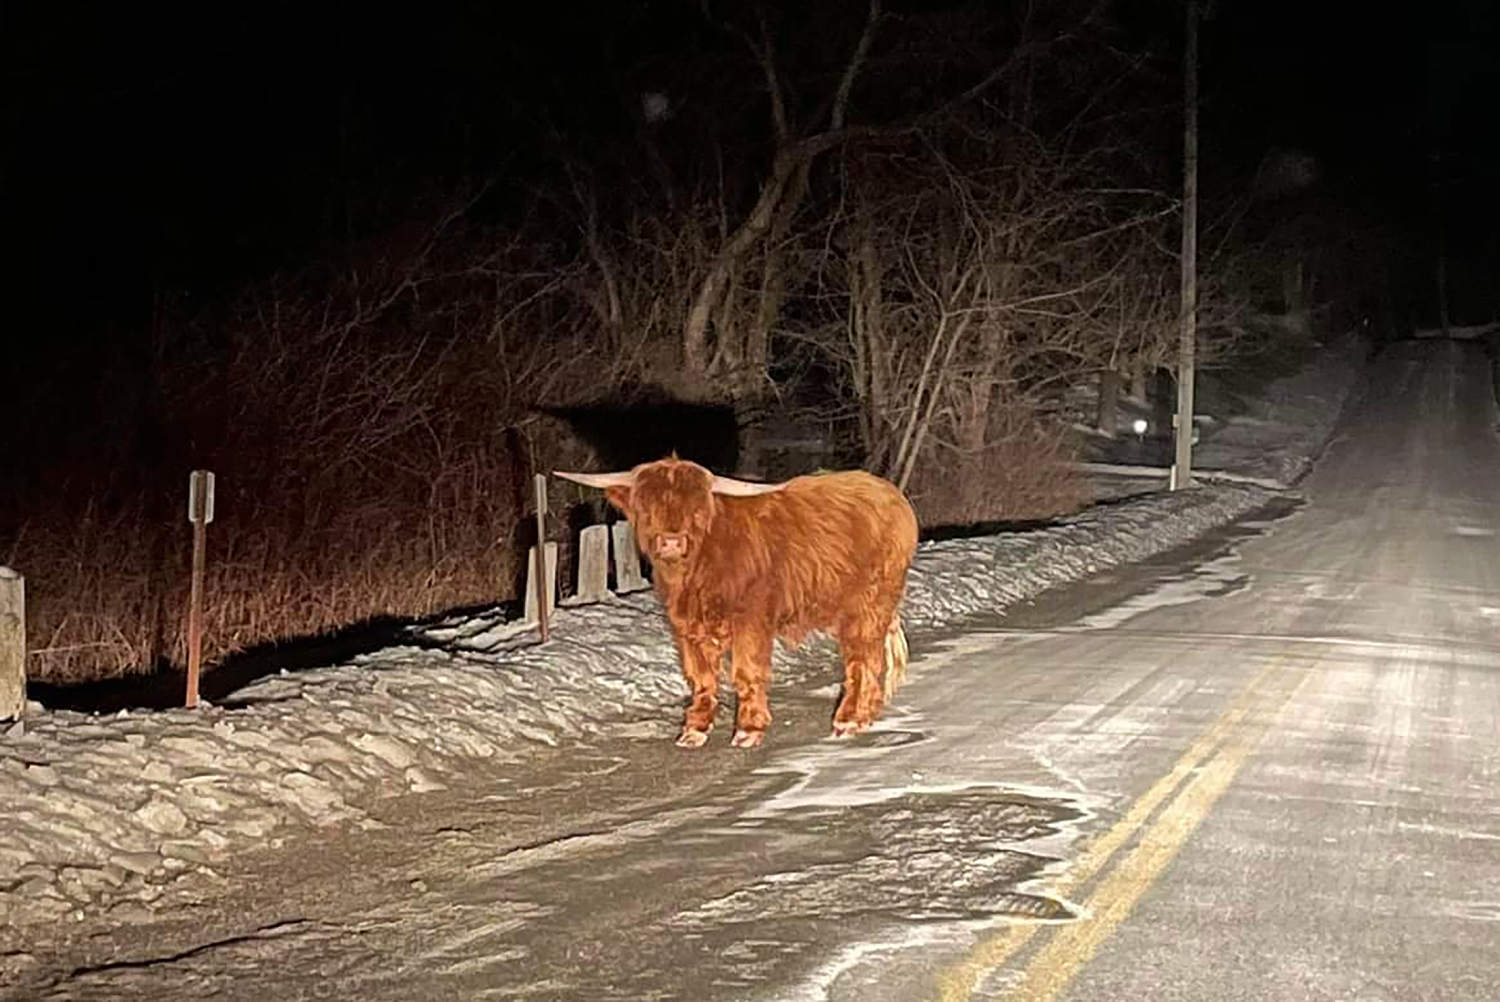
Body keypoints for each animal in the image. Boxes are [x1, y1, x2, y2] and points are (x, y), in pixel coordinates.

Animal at [558, 459, 918, 747]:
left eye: (697, 509)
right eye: (647, 508)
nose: (672, 541)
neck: (696, 569)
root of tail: (891, 495)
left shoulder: (751, 621)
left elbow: (747, 672)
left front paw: (748, 730)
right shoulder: (686, 627)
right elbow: (701, 678)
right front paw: (694, 730)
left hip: (868, 606)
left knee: (862, 661)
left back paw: (849, 720)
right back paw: (864, 714)